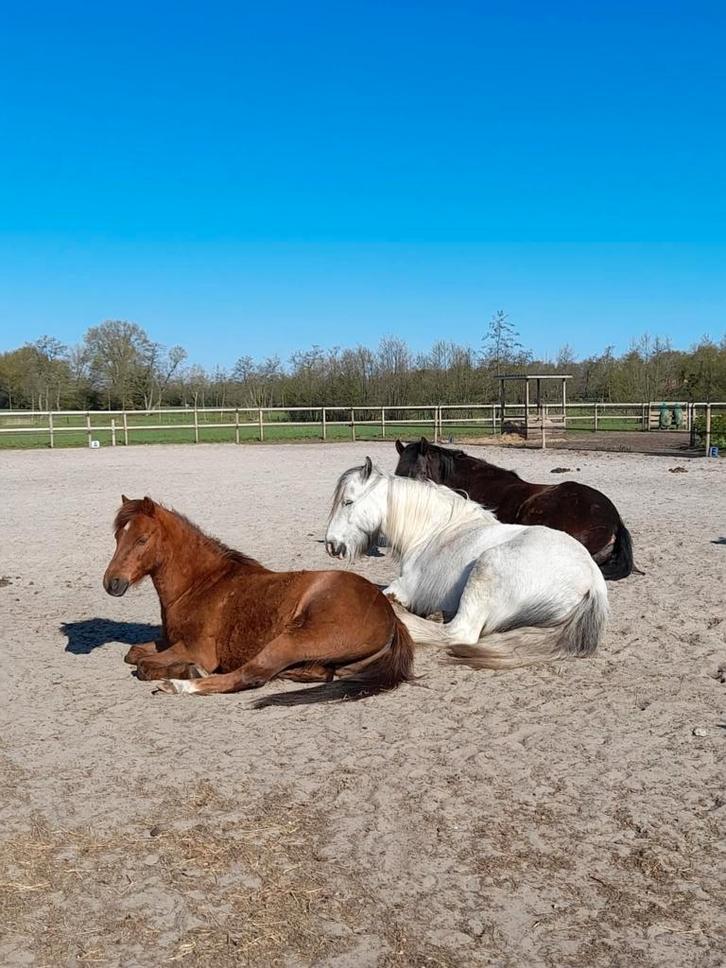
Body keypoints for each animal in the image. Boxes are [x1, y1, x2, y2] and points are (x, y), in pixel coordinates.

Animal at [102, 495, 413, 698]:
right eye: (118, 537)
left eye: (142, 539)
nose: (112, 583)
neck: (199, 585)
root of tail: (389, 615)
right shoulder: (169, 642)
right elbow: (134, 653)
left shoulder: (196, 650)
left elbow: (143, 665)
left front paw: (188, 671)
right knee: (309, 672)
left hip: (295, 639)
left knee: (252, 675)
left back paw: (180, 685)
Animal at [325, 459, 608, 670]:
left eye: (348, 502)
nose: (331, 544)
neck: (433, 532)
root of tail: (592, 583)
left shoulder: (403, 587)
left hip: (487, 566)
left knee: (458, 633)